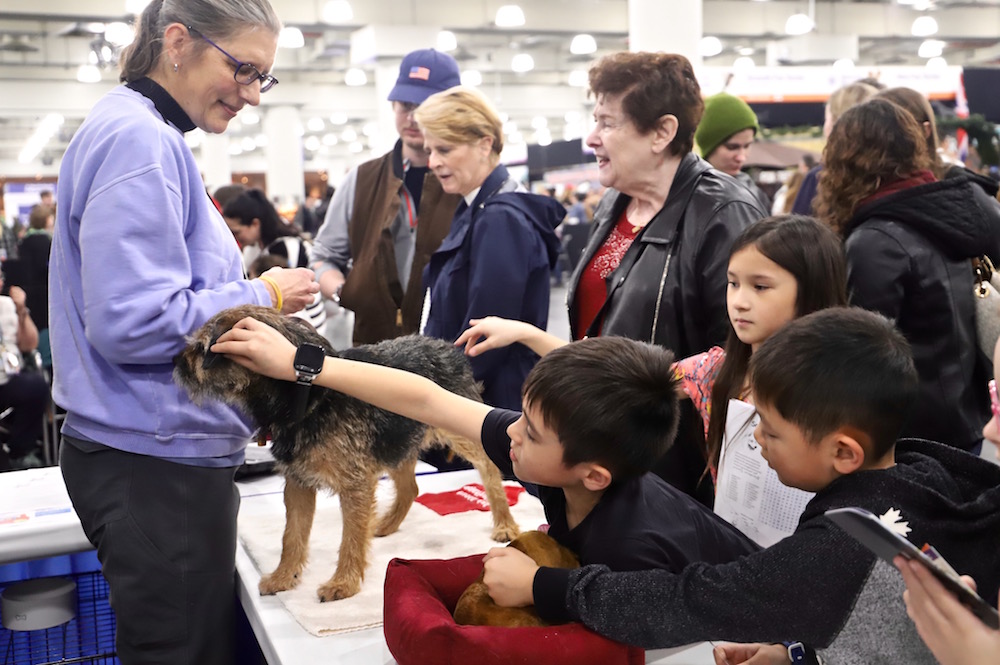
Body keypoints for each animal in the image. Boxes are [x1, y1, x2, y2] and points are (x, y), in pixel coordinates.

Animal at [173, 304, 520, 600]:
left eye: (201, 348)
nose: (175, 362)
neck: (306, 398)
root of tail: (449, 348)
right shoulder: (298, 485)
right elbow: (292, 535)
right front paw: (284, 577)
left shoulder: (355, 484)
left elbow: (350, 539)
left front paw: (344, 583)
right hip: (397, 440)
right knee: (410, 487)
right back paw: (385, 524)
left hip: (462, 431)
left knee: (490, 470)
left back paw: (504, 523)